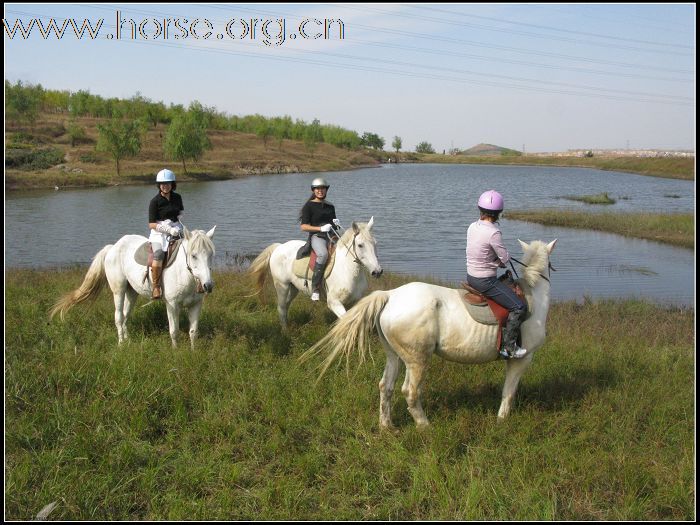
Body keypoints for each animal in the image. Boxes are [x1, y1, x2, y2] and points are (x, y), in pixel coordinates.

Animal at [50, 225, 216, 348]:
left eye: (210, 255)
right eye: (193, 255)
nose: (207, 285)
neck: (184, 273)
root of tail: (113, 247)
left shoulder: (195, 305)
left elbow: (193, 331)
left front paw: (192, 352)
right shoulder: (172, 305)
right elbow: (174, 331)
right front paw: (175, 352)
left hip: (132, 292)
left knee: (125, 316)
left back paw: (127, 340)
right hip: (119, 291)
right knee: (118, 317)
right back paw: (121, 344)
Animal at [249, 219, 382, 330]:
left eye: (375, 243)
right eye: (360, 245)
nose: (378, 271)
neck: (348, 271)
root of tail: (279, 247)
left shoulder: (354, 302)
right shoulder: (334, 302)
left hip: (293, 288)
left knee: (285, 306)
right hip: (282, 286)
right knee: (281, 308)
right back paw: (285, 332)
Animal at [304, 239, 556, 428]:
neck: (532, 295)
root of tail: (390, 295)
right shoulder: (522, 358)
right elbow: (509, 392)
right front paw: (502, 420)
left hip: (395, 356)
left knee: (386, 387)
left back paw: (387, 426)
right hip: (417, 360)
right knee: (410, 392)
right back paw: (425, 426)